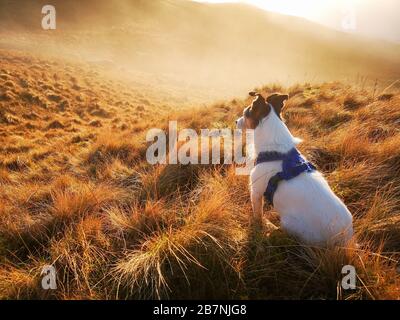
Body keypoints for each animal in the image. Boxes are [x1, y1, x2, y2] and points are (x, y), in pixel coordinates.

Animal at [236, 91, 354, 246]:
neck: (276, 152)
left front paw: (259, 226)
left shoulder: (255, 192)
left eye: (245, 113)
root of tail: (343, 239)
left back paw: (272, 229)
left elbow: (257, 214)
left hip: (289, 223)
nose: (235, 122)